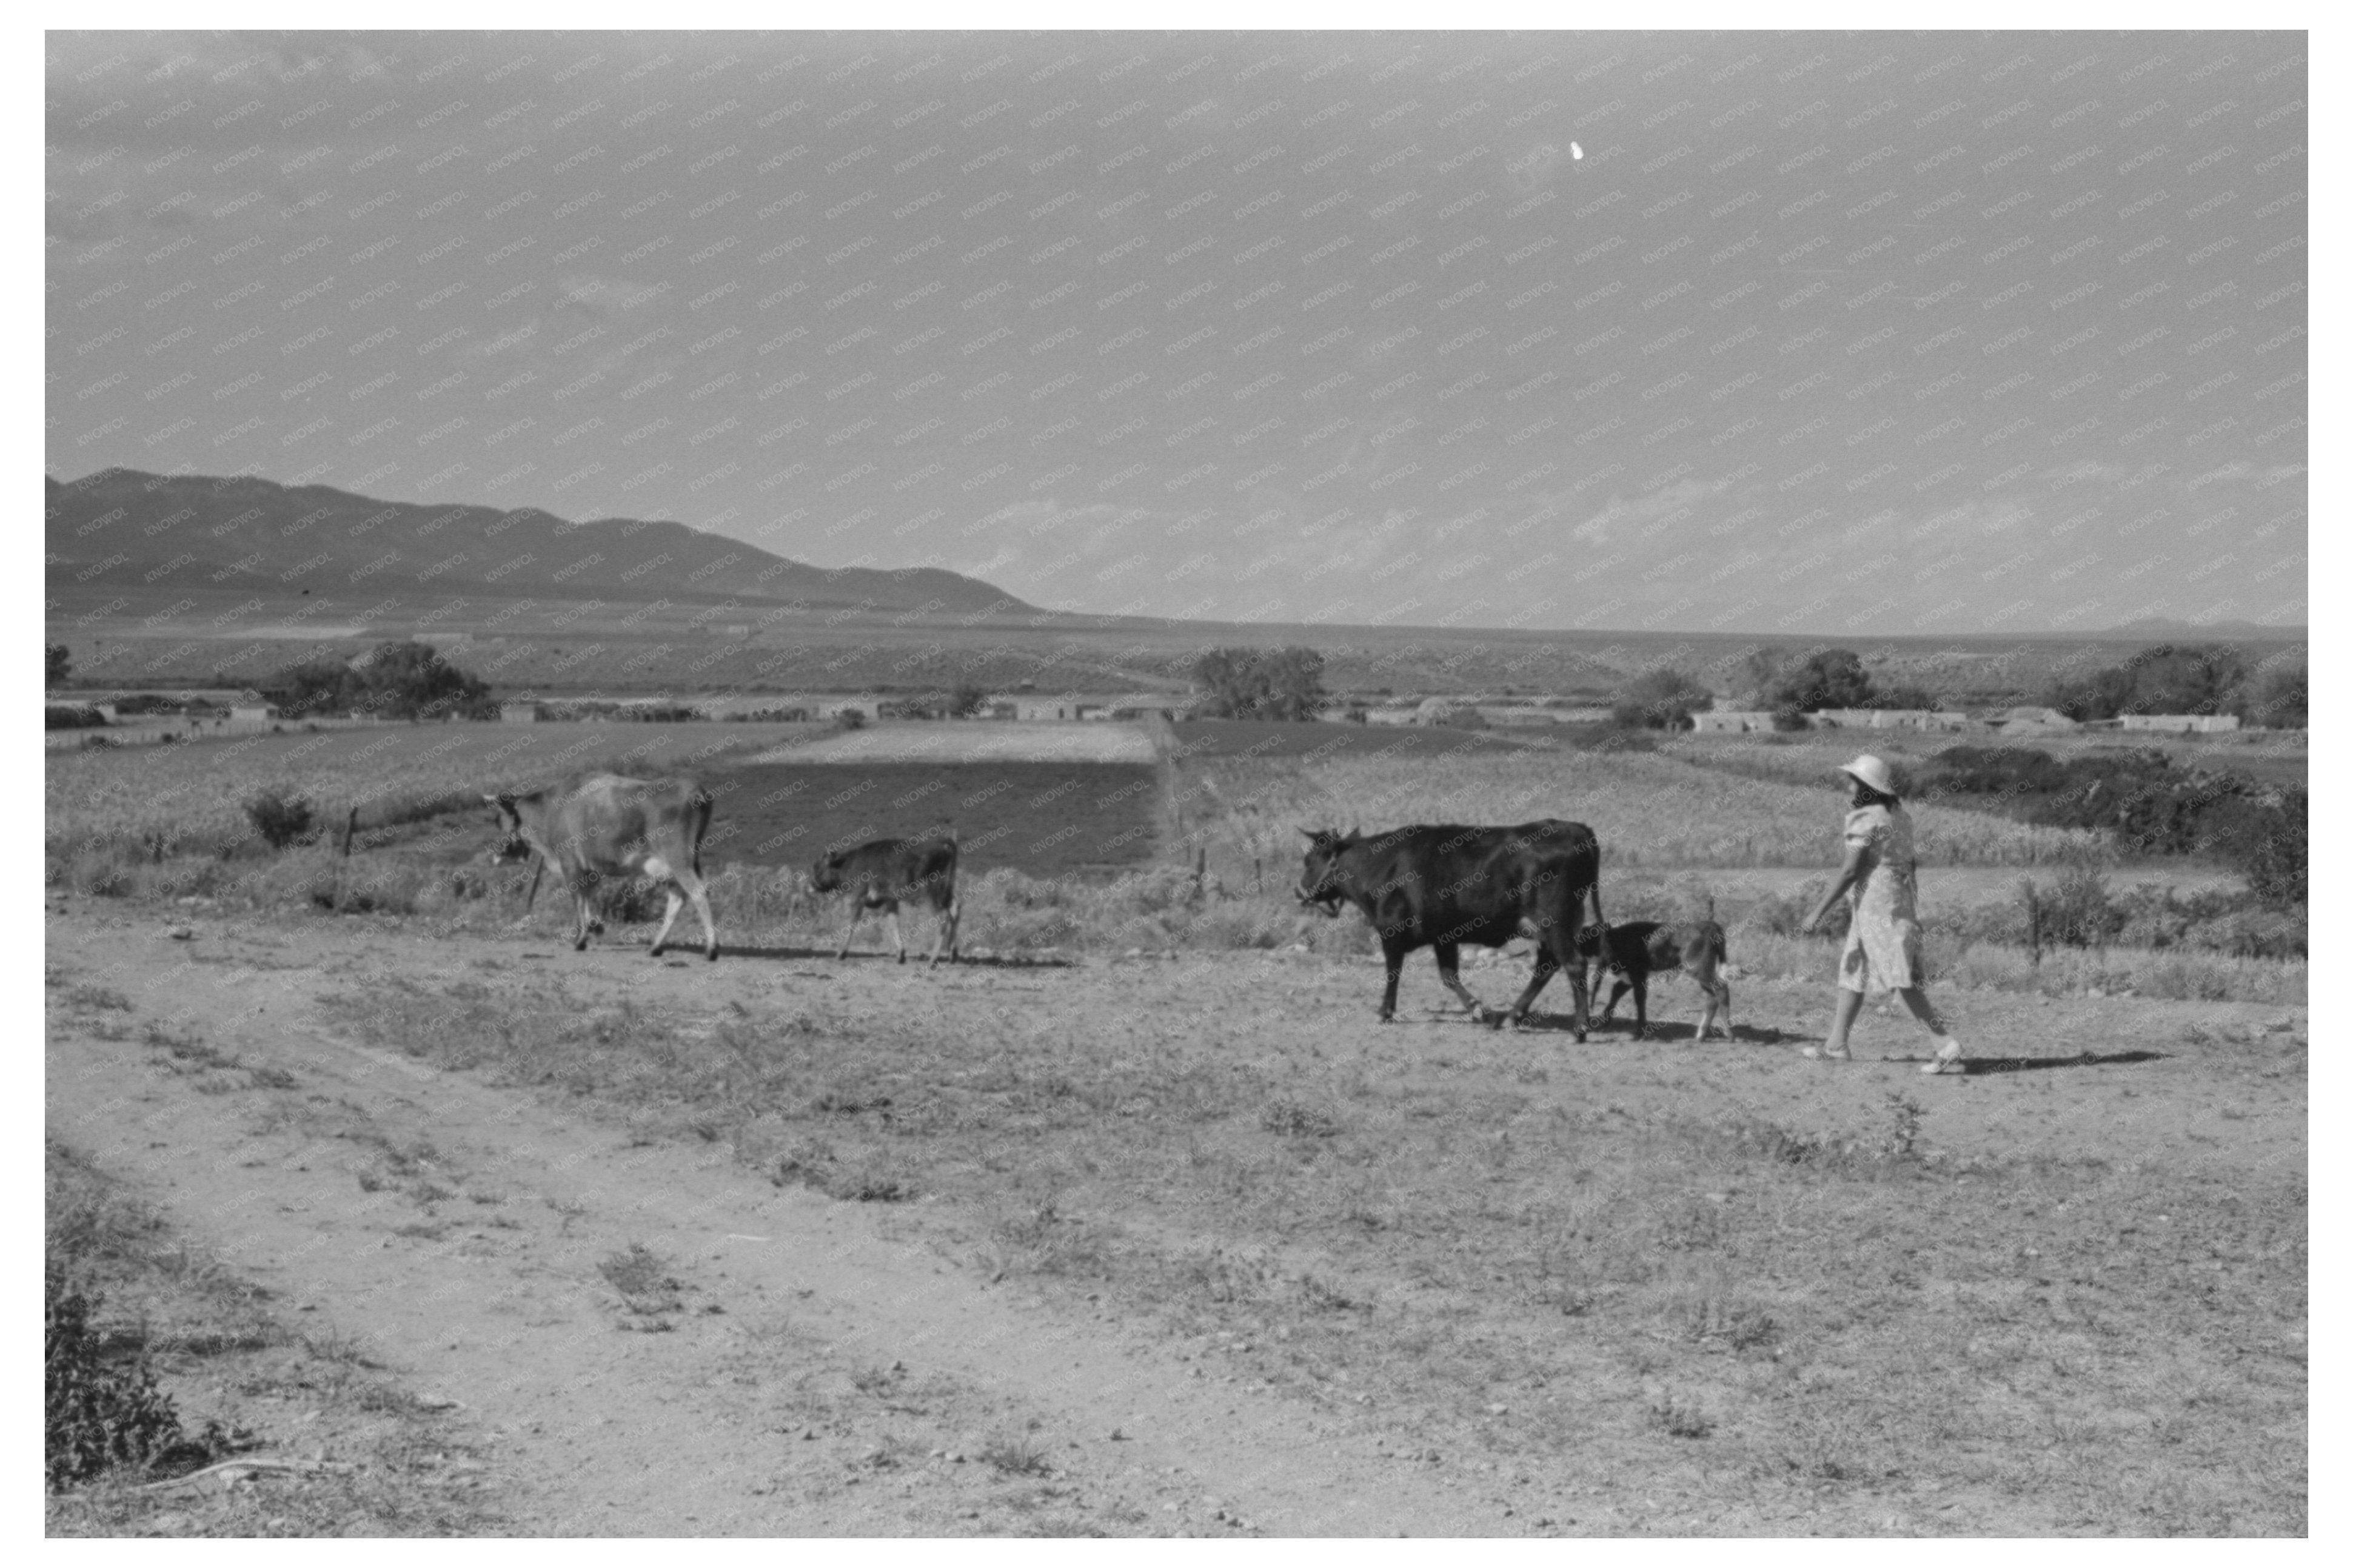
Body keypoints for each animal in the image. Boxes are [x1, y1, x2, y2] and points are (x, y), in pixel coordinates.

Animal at [483, 773, 718, 961]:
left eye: (498, 820)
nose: (495, 856)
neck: (550, 810)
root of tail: (695, 790)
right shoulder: (591, 868)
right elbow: (589, 898)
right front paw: (593, 929)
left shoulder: (571, 864)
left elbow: (579, 901)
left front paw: (580, 939)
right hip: (680, 863)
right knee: (678, 896)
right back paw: (656, 946)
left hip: (679, 858)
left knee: (698, 892)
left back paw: (711, 949)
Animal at [809, 827, 960, 966]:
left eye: (818, 867)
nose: (811, 884)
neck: (848, 864)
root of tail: (943, 843)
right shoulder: (890, 901)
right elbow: (893, 923)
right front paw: (901, 956)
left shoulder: (856, 899)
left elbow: (850, 923)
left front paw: (841, 953)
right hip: (946, 893)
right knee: (955, 910)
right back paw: (952, 955)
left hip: (930, 894)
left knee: (943, 916)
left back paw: (933, 959)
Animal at [1295, 820, 1604, 1036]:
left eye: (1309, 860)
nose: (1299, 892)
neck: (1380, 864)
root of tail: (1577, 829)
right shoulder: (1444, 937)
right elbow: (1449, 976)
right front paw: (1480, 1010)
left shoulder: (1391, 932)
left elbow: (1393, 973)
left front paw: (1384, 1012)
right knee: (1546, 966)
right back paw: (1512, 1016)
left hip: (1555, 923)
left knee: (1574, 964)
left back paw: (1580, 1028)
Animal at [1577, 919, 1733, 1040]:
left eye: (1587, 938)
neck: (1617, 940)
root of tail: (1710, 925)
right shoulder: (1633, 977)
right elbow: (1617, 991)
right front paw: (1604, 1022)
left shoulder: (1637, 976)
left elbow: (1639, 999)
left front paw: (1640, 1032)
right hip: (1702, 973)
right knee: (1713, 997)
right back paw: (1701, 1035)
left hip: (1699, 970)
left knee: (1721, 990)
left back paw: (1727, 1033)